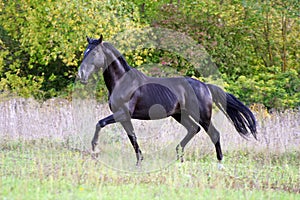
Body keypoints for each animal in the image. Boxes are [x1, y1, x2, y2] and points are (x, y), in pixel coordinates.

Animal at [77, 34, 255, 167]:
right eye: (85, 52)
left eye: (94, 53)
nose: (81, 75)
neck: (123, 82)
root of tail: (205, 86)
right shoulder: (124, 117)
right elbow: (132, 138)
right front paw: (139, 162)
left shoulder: (122, 113)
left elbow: (100, 123)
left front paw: (94, 148)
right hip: (180, 115)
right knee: (193, 129)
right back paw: (179, 158)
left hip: (203, 116)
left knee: (214, 134)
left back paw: (219, 163)